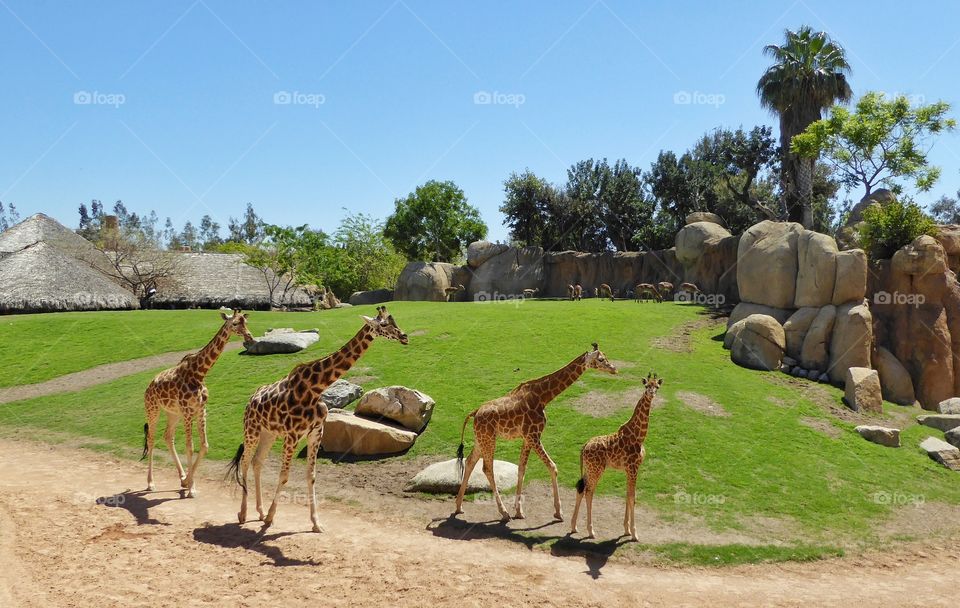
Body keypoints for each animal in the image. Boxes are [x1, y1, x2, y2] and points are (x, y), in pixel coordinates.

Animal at [143, 309, 253, 497]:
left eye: (245, 322)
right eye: (234, 323)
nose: (249, 337)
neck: (199, 373)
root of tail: (148, 387)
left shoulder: (201, 410)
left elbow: (204, 446)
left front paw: (188, 482)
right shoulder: (188, 412)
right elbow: (190, 447)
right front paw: (191, 489)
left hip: (173, 413)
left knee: (167, 436)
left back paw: (181, 477)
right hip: (153, 410)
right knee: (151, 438)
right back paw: (151, 483)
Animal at [227, 306, 407, 532]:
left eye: (394, 321)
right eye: (383, 324)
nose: (404, 336)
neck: (315, 388)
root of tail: (250, 400)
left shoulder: (315, 432)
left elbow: (311, 476)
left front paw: (316, 523)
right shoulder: (293, 436)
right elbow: (284, 476)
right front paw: (270, 518)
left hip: (269, 433)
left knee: (257, 462)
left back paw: (258, 512)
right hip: (251, 430)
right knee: (245, 461)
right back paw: (243, 514)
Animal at [454, 344, 618, 521]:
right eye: (600, 359)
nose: (614, 369)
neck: (543, 397)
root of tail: (475, 412)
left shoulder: (527, 437)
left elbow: (521, 469)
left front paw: (519, 511)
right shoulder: (534, 435)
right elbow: (553, 467)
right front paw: (558, 512)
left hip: (481, 438)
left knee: (470, 461)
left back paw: (459, 506)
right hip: (489, 438)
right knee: (487, 468)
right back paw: (503, 512)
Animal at [571, 371, 663, 541]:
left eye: (657, 386)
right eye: (647, 386)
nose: (651, 394)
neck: (639, 436)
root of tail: (584, 447)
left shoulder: (630, 469)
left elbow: (628, 495)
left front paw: (626, 530)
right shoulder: (633, 468)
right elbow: (633, 497)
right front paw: (634, 533)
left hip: (588, 469)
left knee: (581, 488)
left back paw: (574, 527)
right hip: (597, 470)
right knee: (589, 491)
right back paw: (591, 531)